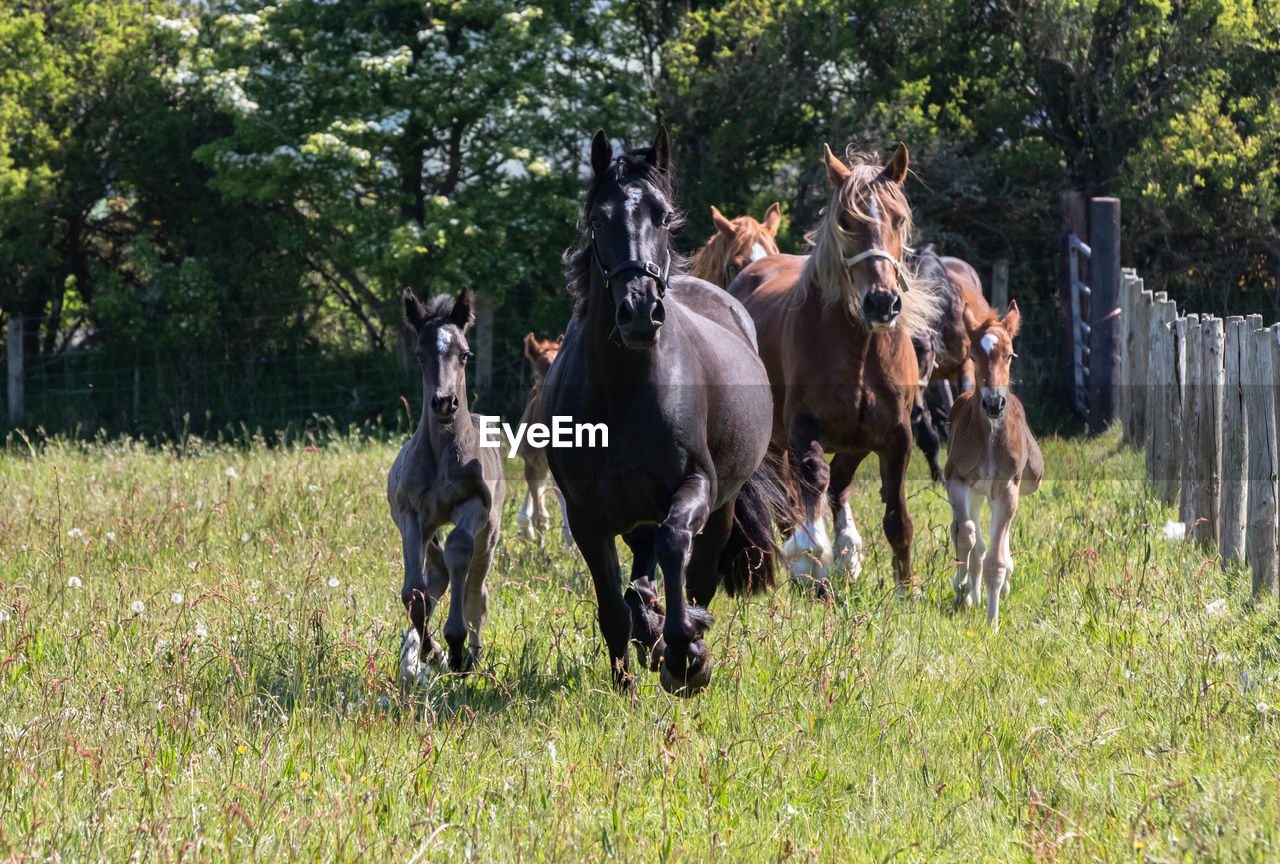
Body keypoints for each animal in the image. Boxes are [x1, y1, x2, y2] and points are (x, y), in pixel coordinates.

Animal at [540, 126, 778, 696]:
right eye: (597, 220)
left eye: (664, 217)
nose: (640, 312)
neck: (623, 394)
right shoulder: (586, 517)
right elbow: (611, 608)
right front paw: (626, 684)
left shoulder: (695, 487)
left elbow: (674, 549)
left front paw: (687, 656)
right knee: (641, 576)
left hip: (721, 510)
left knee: (698, 575)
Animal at [732, 147, 942, 593]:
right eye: (846, 221)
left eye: (899, 218)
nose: (882, 302)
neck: (859, 350)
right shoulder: (802, 431)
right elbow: (812, 485)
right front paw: (810, 565)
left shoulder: (893, 436)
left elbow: (896, 516)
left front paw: (906, 588)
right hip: (774, 442)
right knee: (790, 500)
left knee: (838, 486)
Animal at [947, 300, 1044, 632]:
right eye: (973, 356)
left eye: (1010, 355)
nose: (993, 404)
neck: (989, 435)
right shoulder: (958, 481)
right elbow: (965, 536)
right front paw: (962, 587)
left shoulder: (1006, 488)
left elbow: (996, 560)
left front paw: (992, 623)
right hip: (976, 493)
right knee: (972, 537)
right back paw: (970, 592)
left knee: (994, 545)